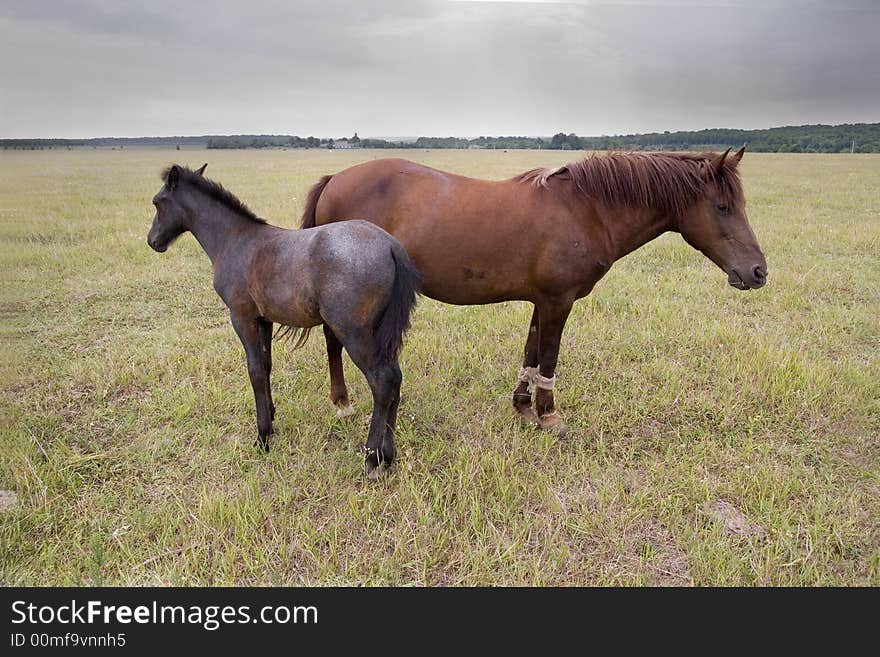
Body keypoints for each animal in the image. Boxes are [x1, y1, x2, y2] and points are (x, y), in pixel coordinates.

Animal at [147, 161, 420, 474]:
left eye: (157, 202)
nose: (153, 241)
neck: (235, 239)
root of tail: (390, 245)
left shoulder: (242, 317)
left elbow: (254, 371)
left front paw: (263, 437)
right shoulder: (264, 319)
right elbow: (266, 366)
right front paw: (272, 416)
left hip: (354, 332)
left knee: (382, 381)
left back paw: (374, 458)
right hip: (379, 334)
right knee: (395, 378)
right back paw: (388, 454)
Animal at [300, 149, 768, 436]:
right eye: (723, 207)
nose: (758, 271)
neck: (586, 208)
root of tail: (334, 179)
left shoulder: (541, 301)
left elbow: (530, 351)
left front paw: (523, 407)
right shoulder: (559, 301)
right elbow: (549, 355)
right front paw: (549, 415)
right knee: (333, 341)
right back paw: (342, 402)